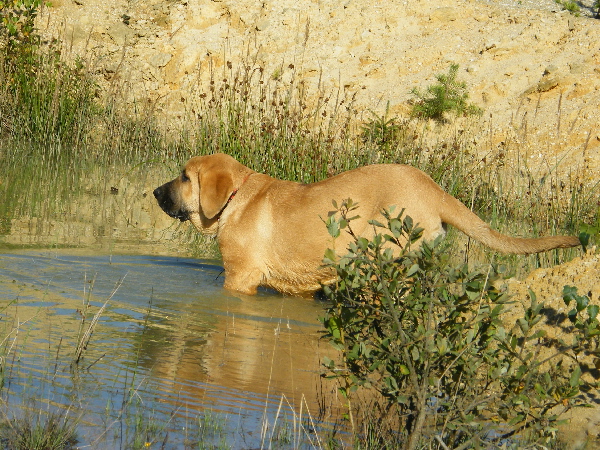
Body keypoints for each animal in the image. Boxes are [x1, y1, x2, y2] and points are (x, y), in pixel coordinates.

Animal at [155, 153, 580, 298]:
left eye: (184, 177)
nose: (156, 192)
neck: (235, 197)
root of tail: (434, 190)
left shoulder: (240, 278)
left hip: (384, 263)